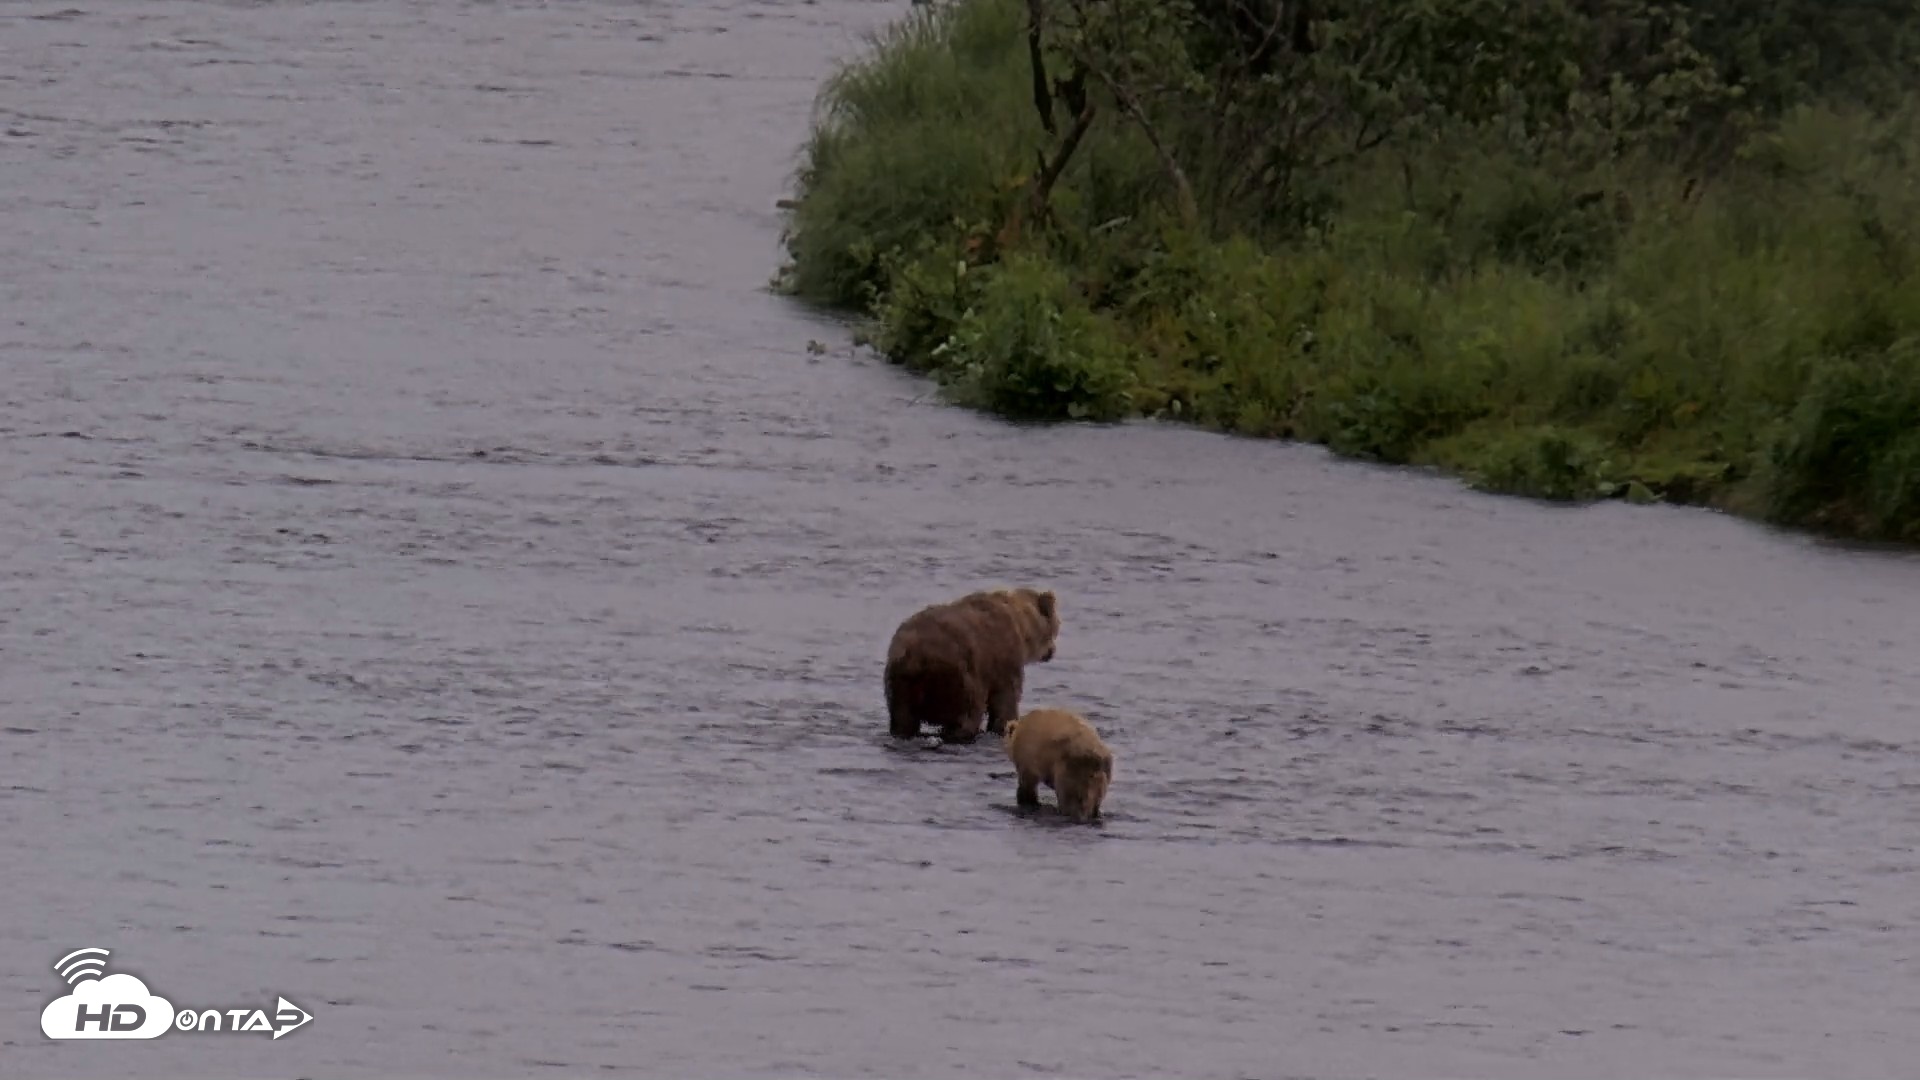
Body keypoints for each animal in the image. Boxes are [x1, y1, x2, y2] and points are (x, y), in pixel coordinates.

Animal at [883, 587, 1059, 743]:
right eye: (1056, 627)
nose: (1052, 652)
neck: (1023, 625)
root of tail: (916, 655)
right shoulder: (1004, 658)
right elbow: (1006, 699)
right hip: (958, 675)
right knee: (967, 713)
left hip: (900, 683)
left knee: (903, 718)